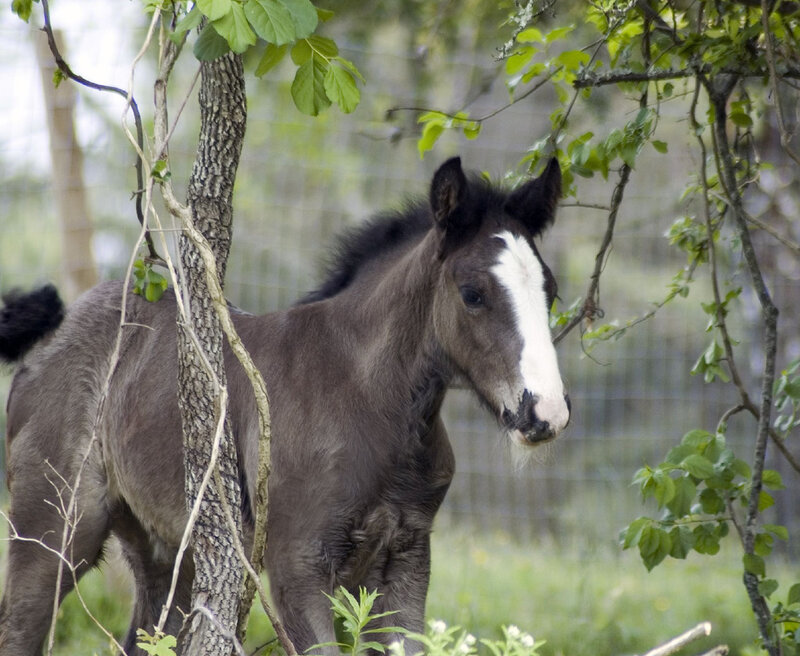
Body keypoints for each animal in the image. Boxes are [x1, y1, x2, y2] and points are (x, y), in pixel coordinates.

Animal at [0, 156, 570, 655]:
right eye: (472, 293)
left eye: (552, 291)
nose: (546, 412)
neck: (369, 400)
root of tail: (56, 330)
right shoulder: (298, 565)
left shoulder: (406, 559)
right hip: (53, 527)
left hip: (168, 553)